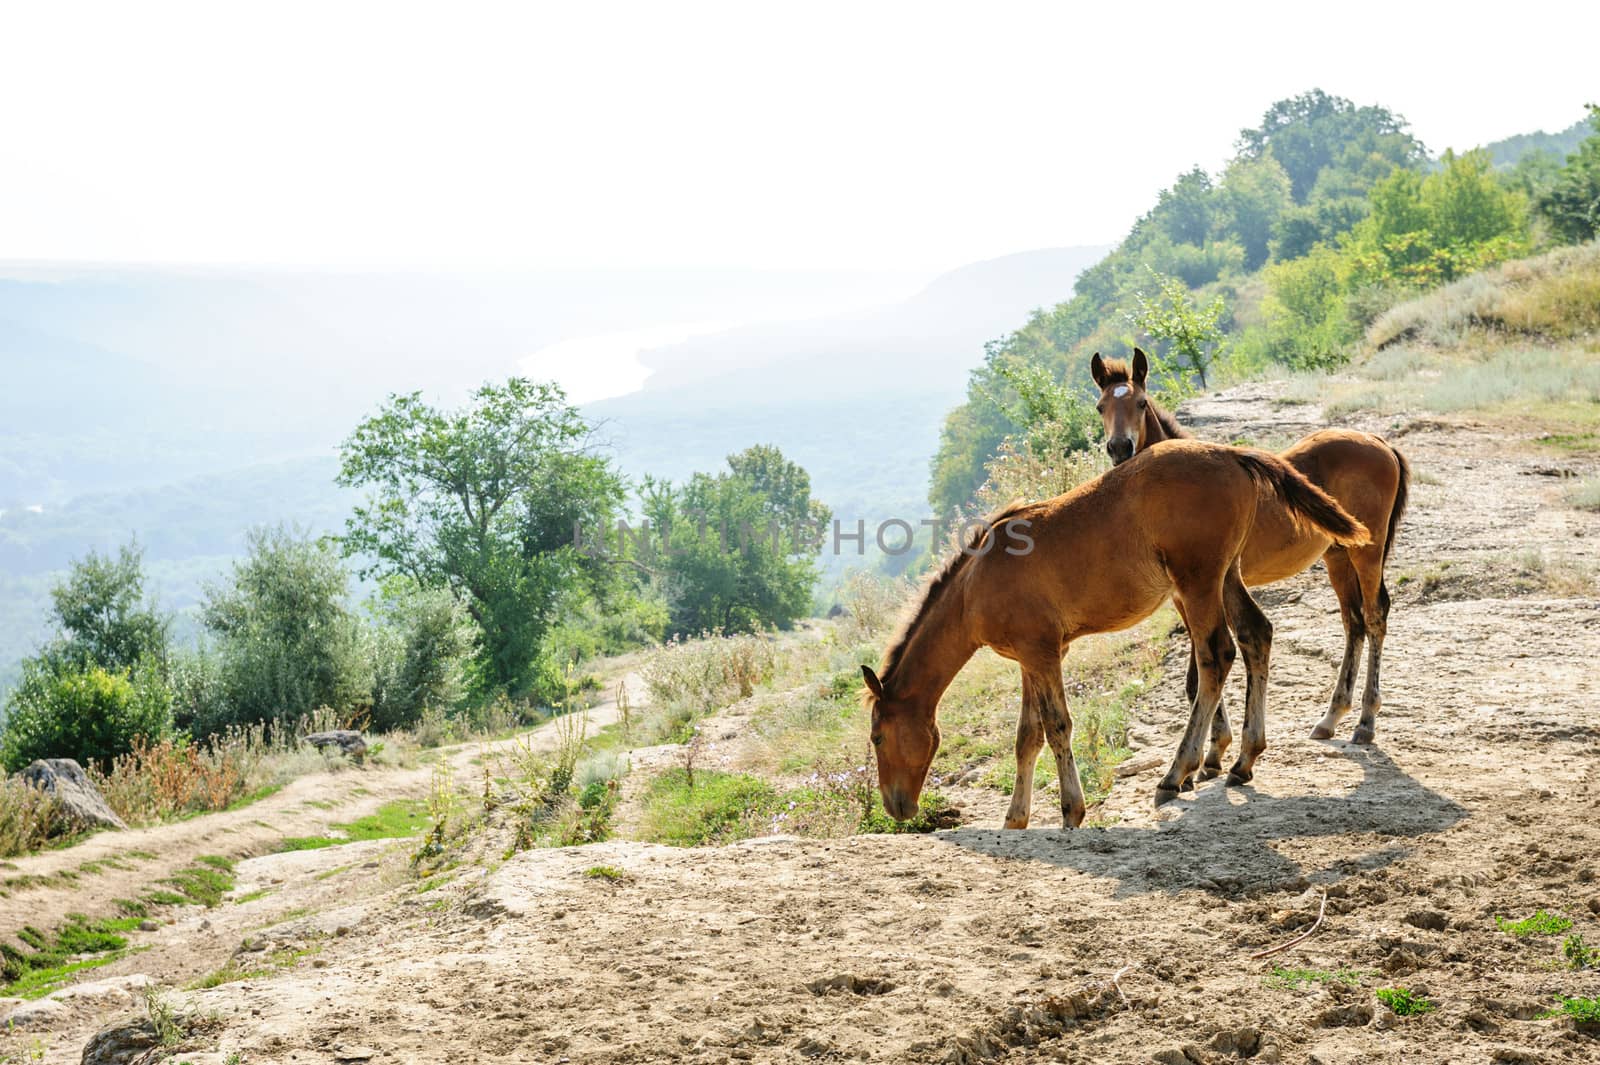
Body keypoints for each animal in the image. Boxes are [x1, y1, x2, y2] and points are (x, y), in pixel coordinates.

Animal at [864, 438, 1363, 831]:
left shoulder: (1042, 654)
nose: (897, 806)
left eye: (877, 738)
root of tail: (1229, 453)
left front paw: (1071, 811)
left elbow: (1057, 726)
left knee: (1216, 656)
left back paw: (1176, 774)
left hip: (1198, 582)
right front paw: (1015, 819)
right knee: (1256, 634)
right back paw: (1244, 760)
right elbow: (1027, 735)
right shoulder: (1032, 657)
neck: (977, 581)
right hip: (1226, 575)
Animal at [1088, 348, 1414, 754]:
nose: (1120, 448)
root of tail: (1376, 439)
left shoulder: (1199, 587)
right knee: (1352, 621)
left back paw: (1366, 721)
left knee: (1373, 616)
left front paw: (1211, 750)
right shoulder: (1185, 594)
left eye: (1141, 402)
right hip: (1338, 555)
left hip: (1367, 551)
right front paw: (1213, 748)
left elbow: (1202, 668)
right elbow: (1198, 671)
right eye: (1101, 406)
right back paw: (1330, 717)